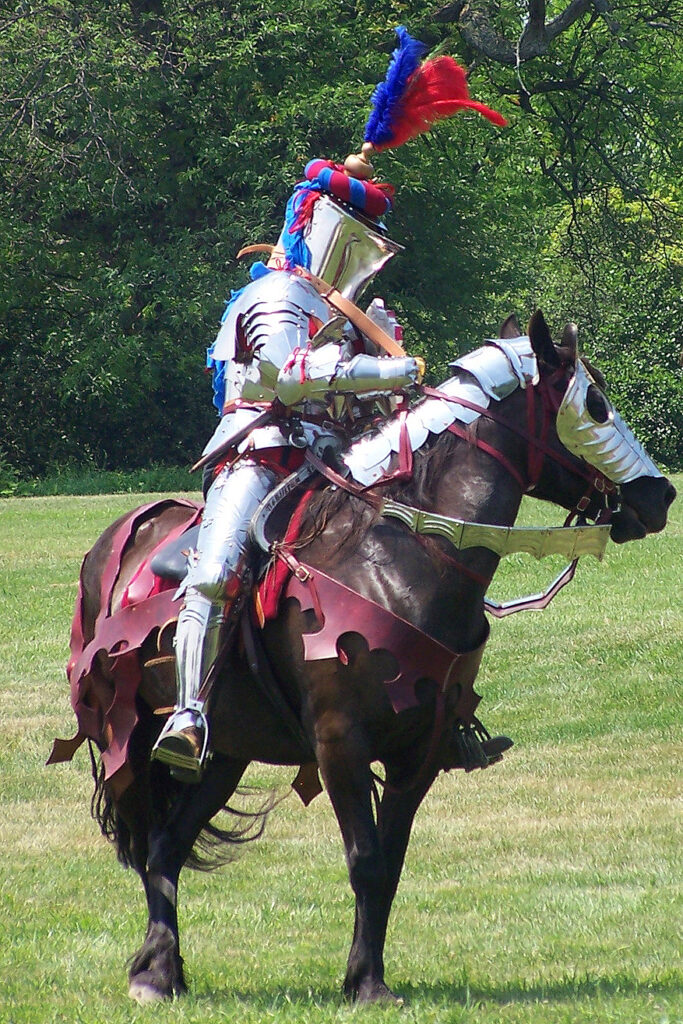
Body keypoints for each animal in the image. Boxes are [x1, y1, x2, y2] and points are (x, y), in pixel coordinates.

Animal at [57, 309, 671, 999]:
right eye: (594, 404)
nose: (660, 497)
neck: (402, 555)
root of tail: (120, 536)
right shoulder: (339, 743)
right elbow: (365, 859)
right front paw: (368, 986)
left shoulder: (420, 750)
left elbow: (389, 865)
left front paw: (366, 974)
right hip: (127, 735)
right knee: (147, 840)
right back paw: (156, 969)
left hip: (228, 750)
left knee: (167, 845)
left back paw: (165, 970)